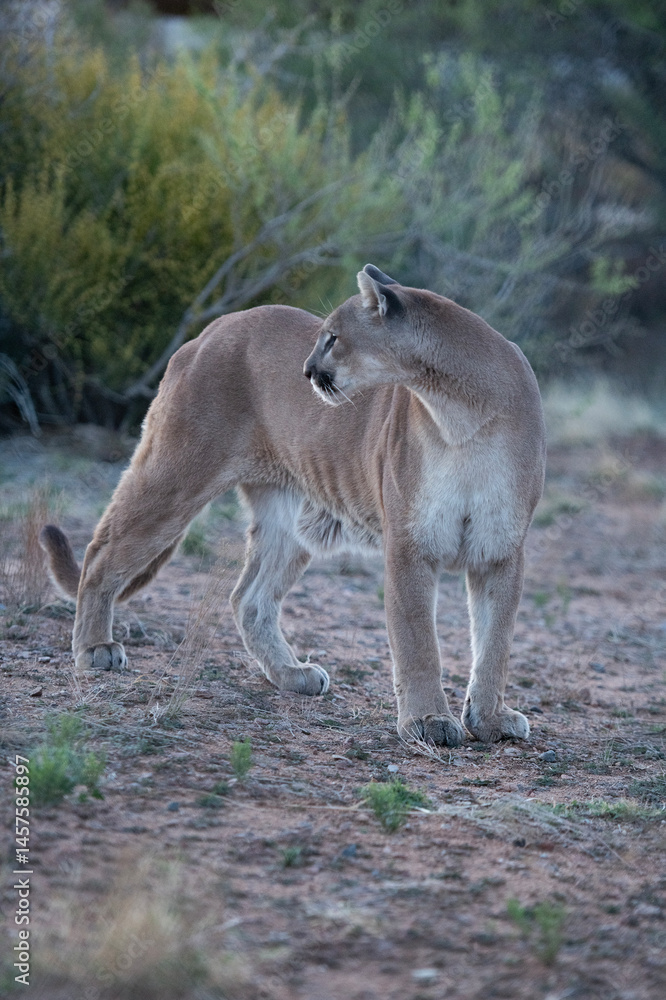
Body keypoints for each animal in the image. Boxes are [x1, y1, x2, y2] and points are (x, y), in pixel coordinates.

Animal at [40, 264, 546, 746]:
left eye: (333, 337)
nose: (305, 370)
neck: (461, 413)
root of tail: (213, 327)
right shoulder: (411, 543)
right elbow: (417, 638)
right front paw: (428, 721)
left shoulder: (501, 549)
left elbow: (496, 641)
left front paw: (490, 719)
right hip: (176, 475)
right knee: (102, 552)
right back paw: (95, 650)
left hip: (292, 519)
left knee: (249, 598)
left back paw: (291, 674)